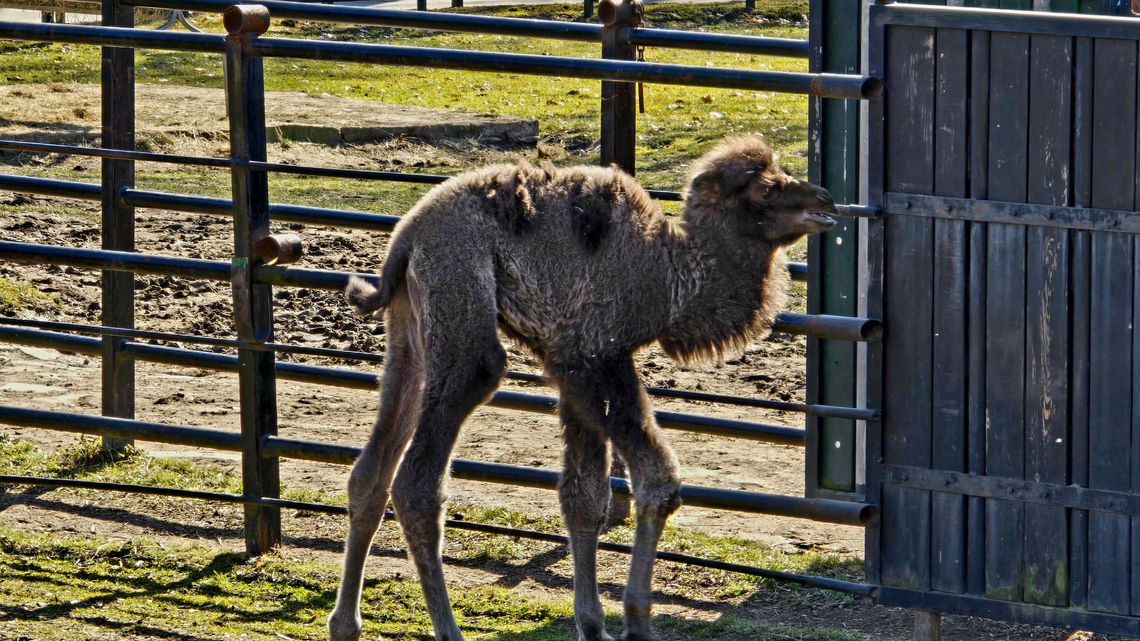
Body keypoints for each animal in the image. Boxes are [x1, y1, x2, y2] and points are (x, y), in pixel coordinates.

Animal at [328, 134, 839, 638]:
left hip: (408, 328)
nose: (825, 201)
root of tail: (408, 235)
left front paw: (593, 625)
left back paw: (346, 624)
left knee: (371, 471)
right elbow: (657, 481)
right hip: (460, 296)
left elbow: (583, 497)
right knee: (420, 477)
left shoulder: (568, 364)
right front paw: (636, 621)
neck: (670, 275)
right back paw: (447, 630)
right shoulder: (594, 353)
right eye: (767, 189)